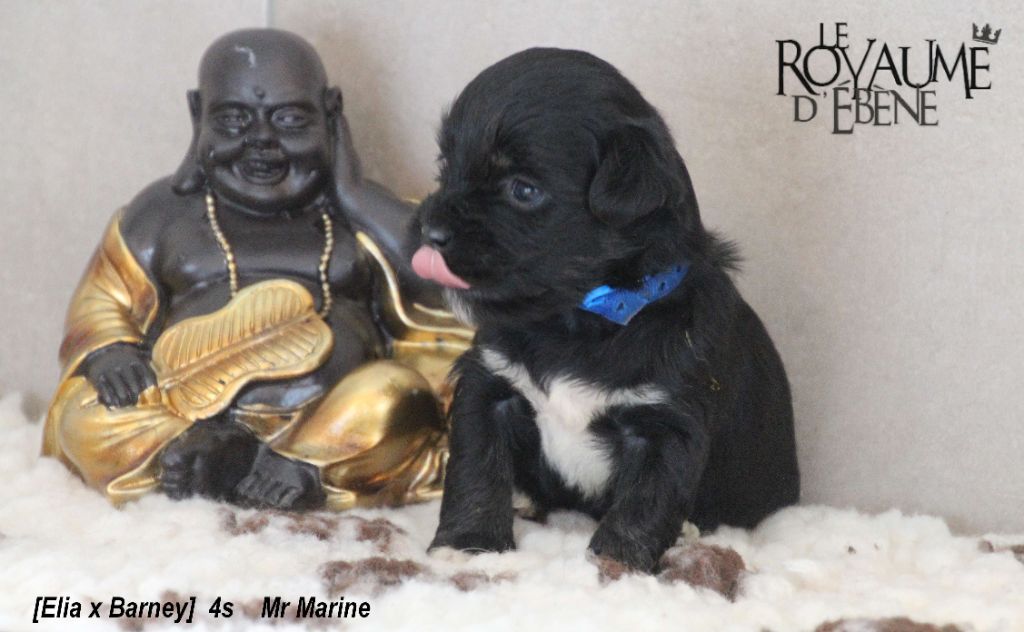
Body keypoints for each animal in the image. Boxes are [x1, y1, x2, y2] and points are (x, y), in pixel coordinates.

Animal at [411, 48, 799, 572]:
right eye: (446, 163)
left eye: (523, 190)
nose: (428, 231)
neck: (575, 322)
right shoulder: (487, 388)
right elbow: (476, 471)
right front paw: (467, 543)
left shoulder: (666, 426)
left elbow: (643, 504)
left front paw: (615, 567)